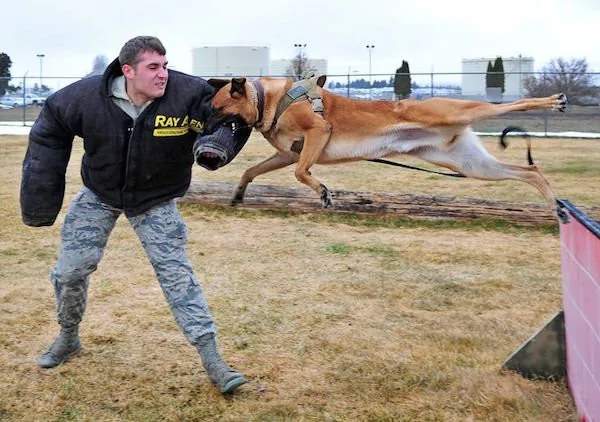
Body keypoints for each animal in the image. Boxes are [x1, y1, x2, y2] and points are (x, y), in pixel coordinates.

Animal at [206, 77, 568, 219]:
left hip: (459, 112)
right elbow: (252, 170)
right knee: (531, 170)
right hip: (470, 165)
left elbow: (301, 173)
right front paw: (238, 194)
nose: (199, 124)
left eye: (218, 109)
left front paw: (324, 193)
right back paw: (555, 206)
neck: (269, 99)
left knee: (509, 106)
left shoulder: (317, 133)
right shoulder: (288, 152)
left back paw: (552, 101)